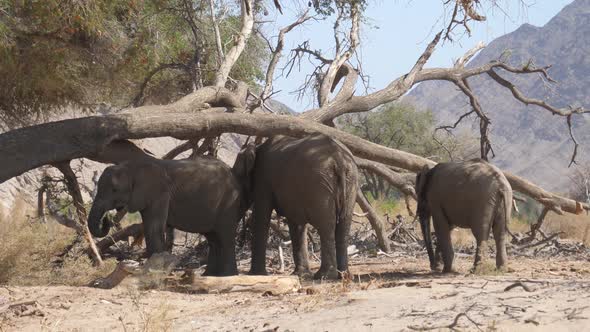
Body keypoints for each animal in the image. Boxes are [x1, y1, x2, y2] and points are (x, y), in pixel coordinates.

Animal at [88, 157, 247, 276]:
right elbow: (149, 227)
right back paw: (210, 275)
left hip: (229, 202)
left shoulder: (159, 193)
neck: (133, 167)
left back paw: (227, 275)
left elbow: (154, 228)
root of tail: (232, 172)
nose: (106, 219)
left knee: (225, 236)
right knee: (214, 238)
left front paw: (154, 272)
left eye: (115, 190)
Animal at [236, 134, 360, 278]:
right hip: (350, 180)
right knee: (344, 226)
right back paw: (344, 275)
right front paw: (301, 274)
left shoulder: (263, 179)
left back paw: (324, 276)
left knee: (326, 225)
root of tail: (339, 158)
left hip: (320, 184)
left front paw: (256, 274)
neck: (257, 147)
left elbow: (261, 216)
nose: (240, 240)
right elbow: (297, 223)